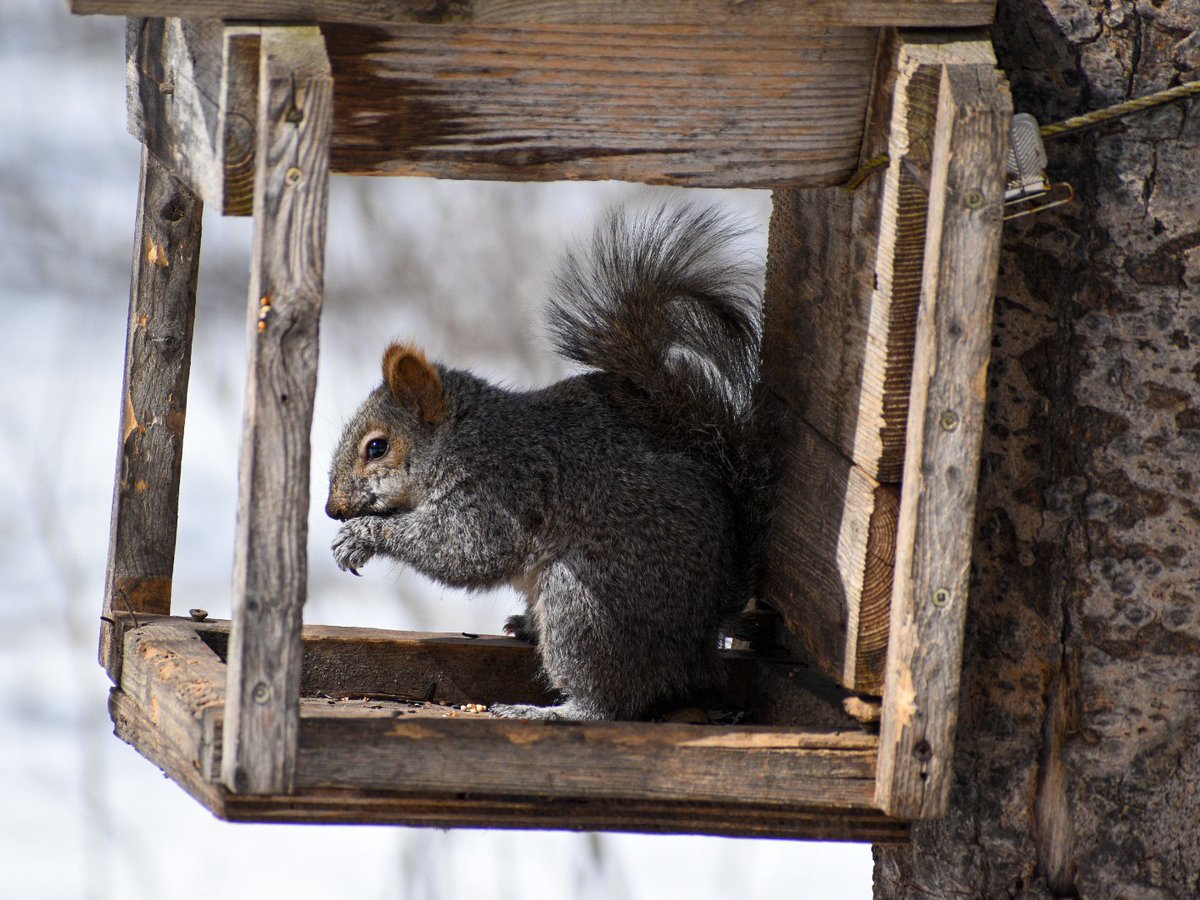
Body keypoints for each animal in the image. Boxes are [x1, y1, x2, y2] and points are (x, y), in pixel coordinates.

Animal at [324, 206, 772, 724]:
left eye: (376, 448)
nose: (333, 509)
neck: (464, 438)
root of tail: (702, 633)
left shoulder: (502, 489)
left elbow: (465, 549)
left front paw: (363, 536)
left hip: (584, 605)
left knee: (611, 703)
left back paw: (549, 711)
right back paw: (524, 626)